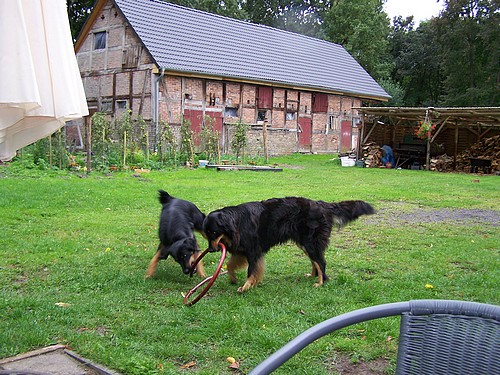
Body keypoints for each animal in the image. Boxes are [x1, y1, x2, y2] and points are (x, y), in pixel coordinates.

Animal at [201, 197, 374, 294]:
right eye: (206, 234)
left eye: (214, 232)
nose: (211, 249)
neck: (236, 222)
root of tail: (322, 205)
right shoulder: (241, 250)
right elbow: (230, 265)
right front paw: (233, 279)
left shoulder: (253, 251)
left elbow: (251, 271)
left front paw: (246, 287)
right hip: (304, 243)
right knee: (315, 262)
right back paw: (313, 276)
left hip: (310, 242)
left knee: (321, 262)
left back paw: (320, 282)